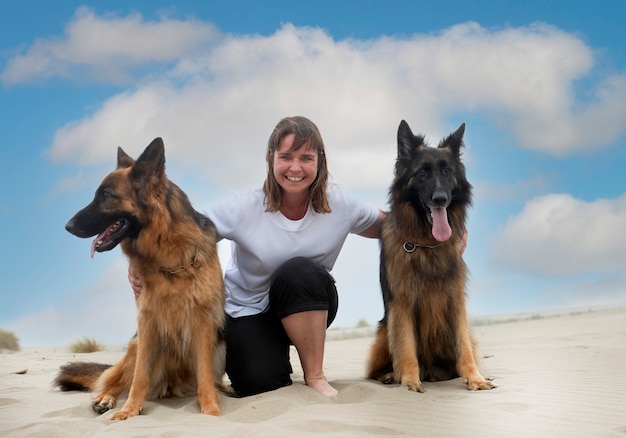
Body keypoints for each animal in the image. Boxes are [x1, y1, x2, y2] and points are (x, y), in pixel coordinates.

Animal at [55, 139, 227, 420]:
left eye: (106, 195)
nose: (67, 226)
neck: (167, 257)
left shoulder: (203, 322)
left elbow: (205, 374)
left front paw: (210, 409)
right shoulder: (147, 322)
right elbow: (139, 378)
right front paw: (129, 410)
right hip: (136, 345)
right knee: (115, 380)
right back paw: (105, 399)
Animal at [366, 120, 492, 394]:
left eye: (447, 172)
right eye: (422, 173)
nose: (440, 199)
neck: (427, 244)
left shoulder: (455, 300)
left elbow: (463, 346)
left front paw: (475, 378)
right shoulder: (401, 305)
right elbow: (406, 347)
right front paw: (410, 381)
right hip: (384, 330)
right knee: (373, 371)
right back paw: (391, 375)